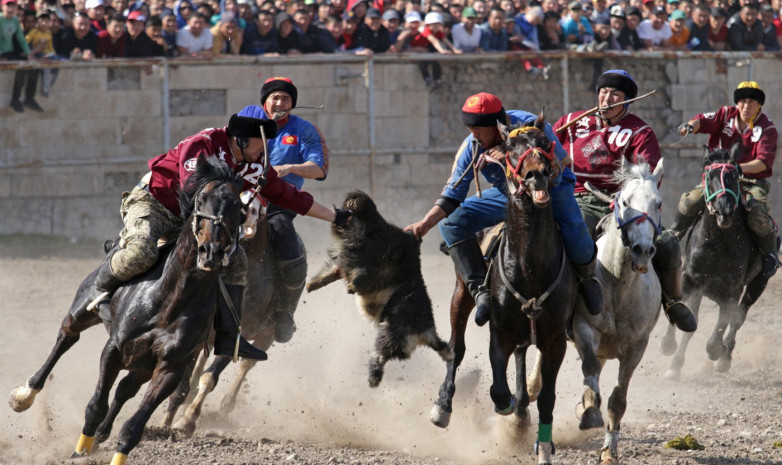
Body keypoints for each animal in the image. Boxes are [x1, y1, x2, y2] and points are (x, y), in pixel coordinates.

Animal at [572, 157, 664, 464]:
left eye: (658, 203)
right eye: (624, 202)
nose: (643, 250)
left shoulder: (637, 347)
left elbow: (617, 399)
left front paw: (608, 450)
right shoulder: (584, 330)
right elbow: (590, 377)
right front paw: (589, 413)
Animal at [660, 147, 764, 378]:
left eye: (733, 176)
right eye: (710, 176)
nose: (724, 211)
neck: (717, 243)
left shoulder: (732, 291)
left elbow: (724, 322)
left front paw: (715, 349)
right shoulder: (690, 280)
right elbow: (684, 313)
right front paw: (670, 351)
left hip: (757, 284)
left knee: (738, 318)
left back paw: (724, 358)